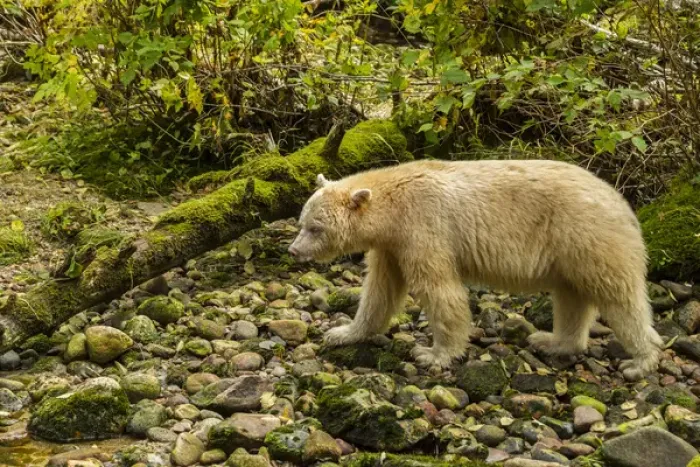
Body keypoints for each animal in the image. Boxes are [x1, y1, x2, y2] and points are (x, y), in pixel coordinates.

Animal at [288, 159, 663, 381]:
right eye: (302, 222)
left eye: (316, 228)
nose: (293, 250)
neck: (393, 208)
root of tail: (623, 202)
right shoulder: (392, 246)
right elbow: (380, 292)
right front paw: (342, 332)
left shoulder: (423, 228)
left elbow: (440, 290)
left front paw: (433, 354)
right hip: (569, 253)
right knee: (571, 296)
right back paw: (553, 340)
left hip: (587, 236)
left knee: (619, 297)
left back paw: (641, 359)